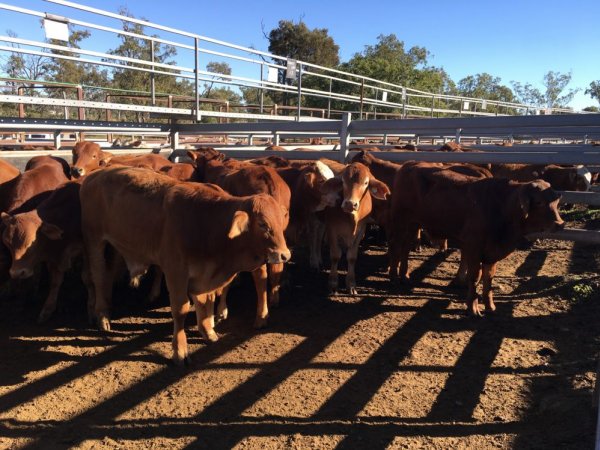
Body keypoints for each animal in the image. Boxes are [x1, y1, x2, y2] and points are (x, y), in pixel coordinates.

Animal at [81, 167, 292, 364]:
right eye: (263, 224)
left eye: (281, 221)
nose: (285, 255)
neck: (206, 221)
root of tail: (95, 174)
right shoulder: (176, 270)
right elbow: (181, 309)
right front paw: (180, 350)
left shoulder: (204, 272)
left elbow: (205, 300)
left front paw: (208, 331)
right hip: (95, 241)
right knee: (99, 276)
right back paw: (102, 316)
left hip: (117, 246)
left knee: (108, 275)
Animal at [322, 163, 392, 294]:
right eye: (343, 181)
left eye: (366, 183)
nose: (350, 204)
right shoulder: (332, 229)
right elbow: (335, 255)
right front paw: (333, 283)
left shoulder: (361, 230)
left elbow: (352, 257)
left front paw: (351, 284)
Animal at [390, 160, 564, 314]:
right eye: (539, 202)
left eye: (556, 202)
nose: (560, 224)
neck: (502, 207)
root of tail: (410, 164)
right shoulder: (473, 248)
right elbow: (475, 276)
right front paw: (472, 307)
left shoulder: (492, 253)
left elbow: (489, 278)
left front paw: (490, 306)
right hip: (400, 220)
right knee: (395, 247)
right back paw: (393, 276)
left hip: (414, 224)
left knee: (405, 248)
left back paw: (405, 275)